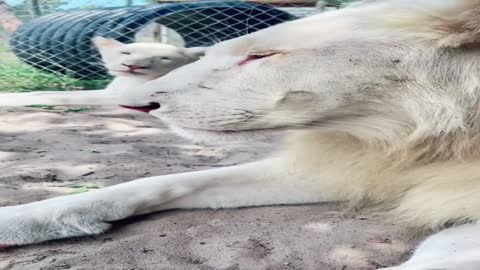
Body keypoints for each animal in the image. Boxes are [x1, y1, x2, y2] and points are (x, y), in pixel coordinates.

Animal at [0, 36, 204, 107]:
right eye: (126, 53)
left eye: (164, 58)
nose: (133, 65)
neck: (127, 81)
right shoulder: (107, 92)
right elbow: (44, 92)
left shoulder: (122, 98)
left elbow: (59, 97)